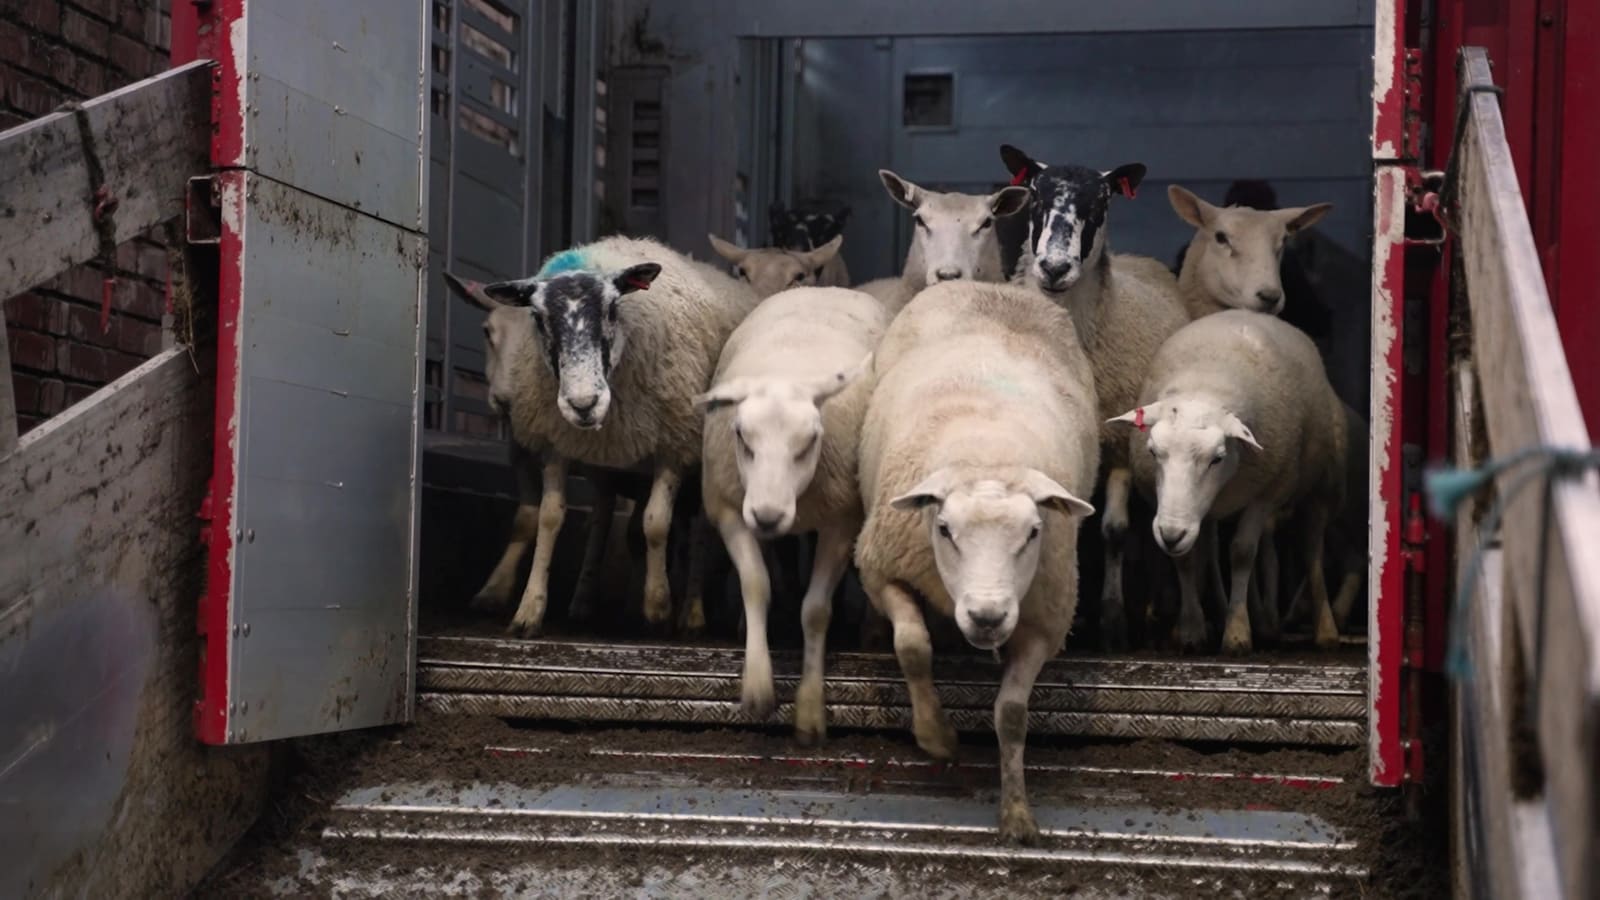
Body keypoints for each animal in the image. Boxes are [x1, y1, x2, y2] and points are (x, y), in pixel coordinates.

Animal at [442, 235, 759, 637]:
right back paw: (586, 602)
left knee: (699, 530)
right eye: (539, 318)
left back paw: (692, 614)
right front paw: (529, 608)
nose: (583, 403)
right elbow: (548, 518)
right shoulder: (556, 443)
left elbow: (656, 523)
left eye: (611, 309)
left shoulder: (674, 443)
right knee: (604, 518)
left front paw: (658, 606)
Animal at [697, 286, 888, 743]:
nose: (768, 516)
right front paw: (757, 687)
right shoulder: (731, 511)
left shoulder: (840, 524)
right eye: (741, 436)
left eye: (810, 441)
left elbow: (816, 610)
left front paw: (810, 710)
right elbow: (755, 585)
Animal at [855, 280, 1098, 843]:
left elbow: (1011, 715)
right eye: (944, 528)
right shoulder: (883, 570)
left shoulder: (1043, 623)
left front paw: (1016, 812)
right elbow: (913, 648)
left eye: (1034, 532)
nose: (987, 616)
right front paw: (937, 737)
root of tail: (994, 286)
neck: (988, 456)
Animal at [999, 144, 1191, 652]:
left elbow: (1114, 532)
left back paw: (1159, 611)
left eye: (1102, 202)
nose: (1053, 267)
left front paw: (1112, 621)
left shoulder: (1121, 443)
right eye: (1034, 194)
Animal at [1112, 309, 1348, 655]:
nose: (1171, 534)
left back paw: (1324, 629)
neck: (1204, 383)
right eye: (1153, 451)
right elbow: (1188, 559)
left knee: (1312, 551)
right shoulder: (1170, 506)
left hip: (1322, 486)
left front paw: (1237, 633)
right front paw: (1192, 630)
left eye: (1217, 458)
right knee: (1212, 551)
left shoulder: (1266, 494)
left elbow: (1242, 552)